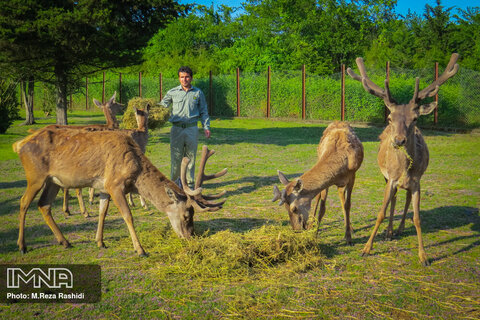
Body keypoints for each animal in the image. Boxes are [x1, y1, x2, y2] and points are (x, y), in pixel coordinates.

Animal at [12, 126, 227, 256]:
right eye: (186, 215)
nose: (190, 236)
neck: (135, 173)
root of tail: (19, 144)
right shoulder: (114, 184)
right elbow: (128, 216)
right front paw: (140, 250)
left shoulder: (103, 187)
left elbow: (102, 213)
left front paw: (100, 241)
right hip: (35, 176)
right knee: (23, 203)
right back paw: (22, 246)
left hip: (53, 181)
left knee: (44, 205)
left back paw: (64, 242)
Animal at [346, 53, 460, 268]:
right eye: (390, 118)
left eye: (415, 118)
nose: (399, 140)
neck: (405, 169)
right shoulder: (391, 179)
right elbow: (381, 212)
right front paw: (366, 249)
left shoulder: (417, 182)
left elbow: (417, 218)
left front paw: (424, 256)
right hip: (387, 177)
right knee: (395, 198)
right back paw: (389, 232)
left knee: (405, 199)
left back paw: (397, 230)